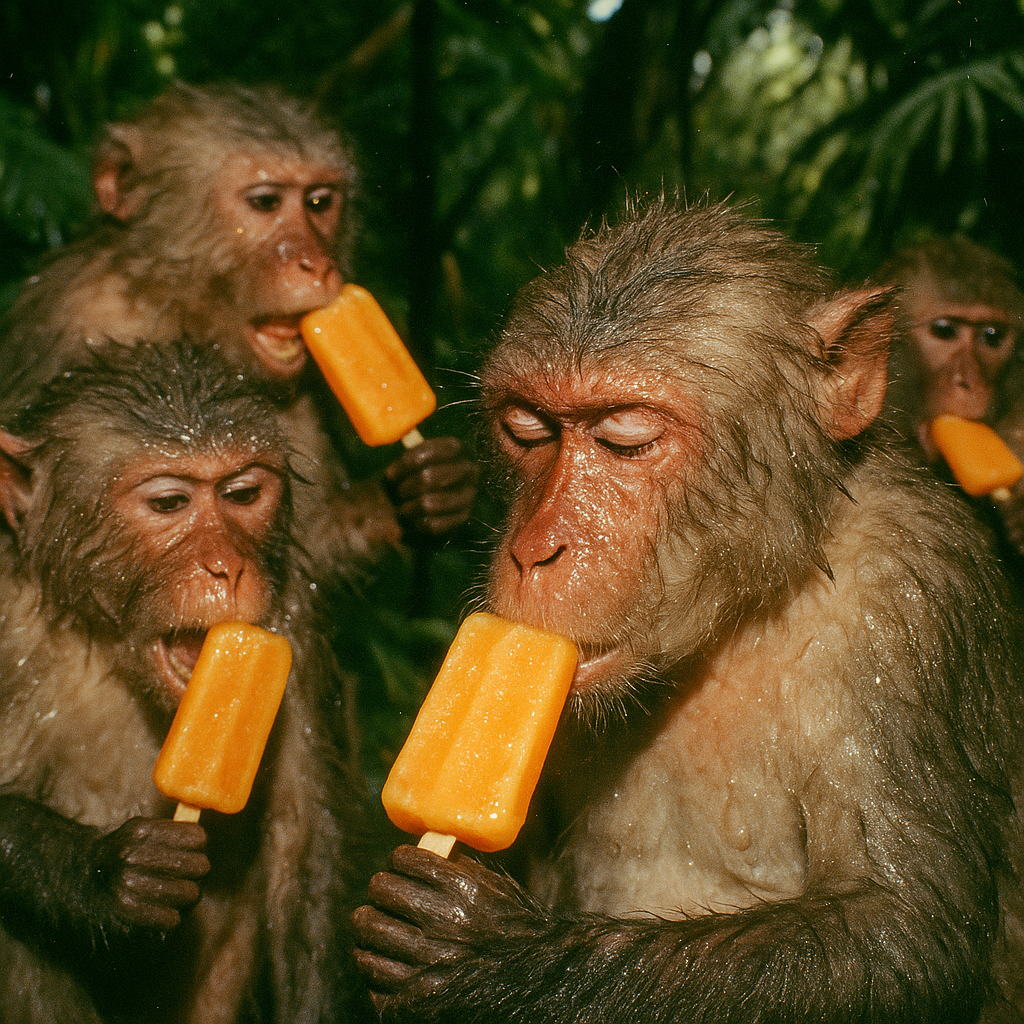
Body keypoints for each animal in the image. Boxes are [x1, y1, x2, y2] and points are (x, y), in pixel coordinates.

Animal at [0, 80, 477, 574]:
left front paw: (429, 491)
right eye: (265, 203)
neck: (178, 309)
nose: (318, 264)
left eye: (319, 202)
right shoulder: (69, 327)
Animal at [0, 340, 372, 1024]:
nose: (227, 567)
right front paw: (108, 874)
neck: (107, 643)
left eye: (242, 493)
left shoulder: (294, 630)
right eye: (169, 503)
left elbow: (306, 850)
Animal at [351, 199, 1024, 1023]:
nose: (535, 548)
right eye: (527, 428)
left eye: (626, 439)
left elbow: (899, 930)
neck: (739, 614)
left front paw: (479, 953)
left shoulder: (911, 592)